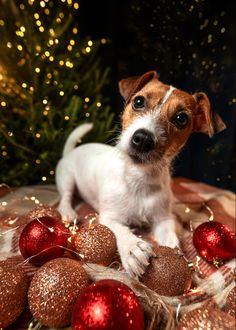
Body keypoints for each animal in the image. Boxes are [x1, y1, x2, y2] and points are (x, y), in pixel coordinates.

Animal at [54, 71, 225, 278]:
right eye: (138, 101)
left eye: (181, 118)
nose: (143, 139)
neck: (139, 179)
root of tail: (72, 151)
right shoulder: (109, 217)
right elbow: (120, 229)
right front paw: (132, 247)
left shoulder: (163, 219)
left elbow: (171, 240)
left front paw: (179, 258)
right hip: (67, 178)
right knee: (65, 196)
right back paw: (68, 211)